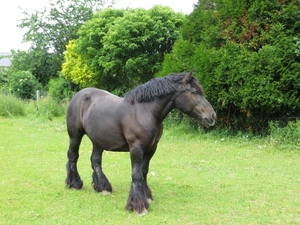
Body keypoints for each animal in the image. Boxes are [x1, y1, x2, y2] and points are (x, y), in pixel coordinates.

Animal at [65, 70, 216, 214]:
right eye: (194, 92)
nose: (212, 116)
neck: (144, 111)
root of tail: (78, 95)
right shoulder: (136, 148)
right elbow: (136, 174)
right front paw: (138, 206)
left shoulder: (151, 148)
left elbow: (143, 172)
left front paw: (146, 196)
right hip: (75, 136)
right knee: (73, 156)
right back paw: (74, 184)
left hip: (98, 140)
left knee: (95, 160)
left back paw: (103, 187)